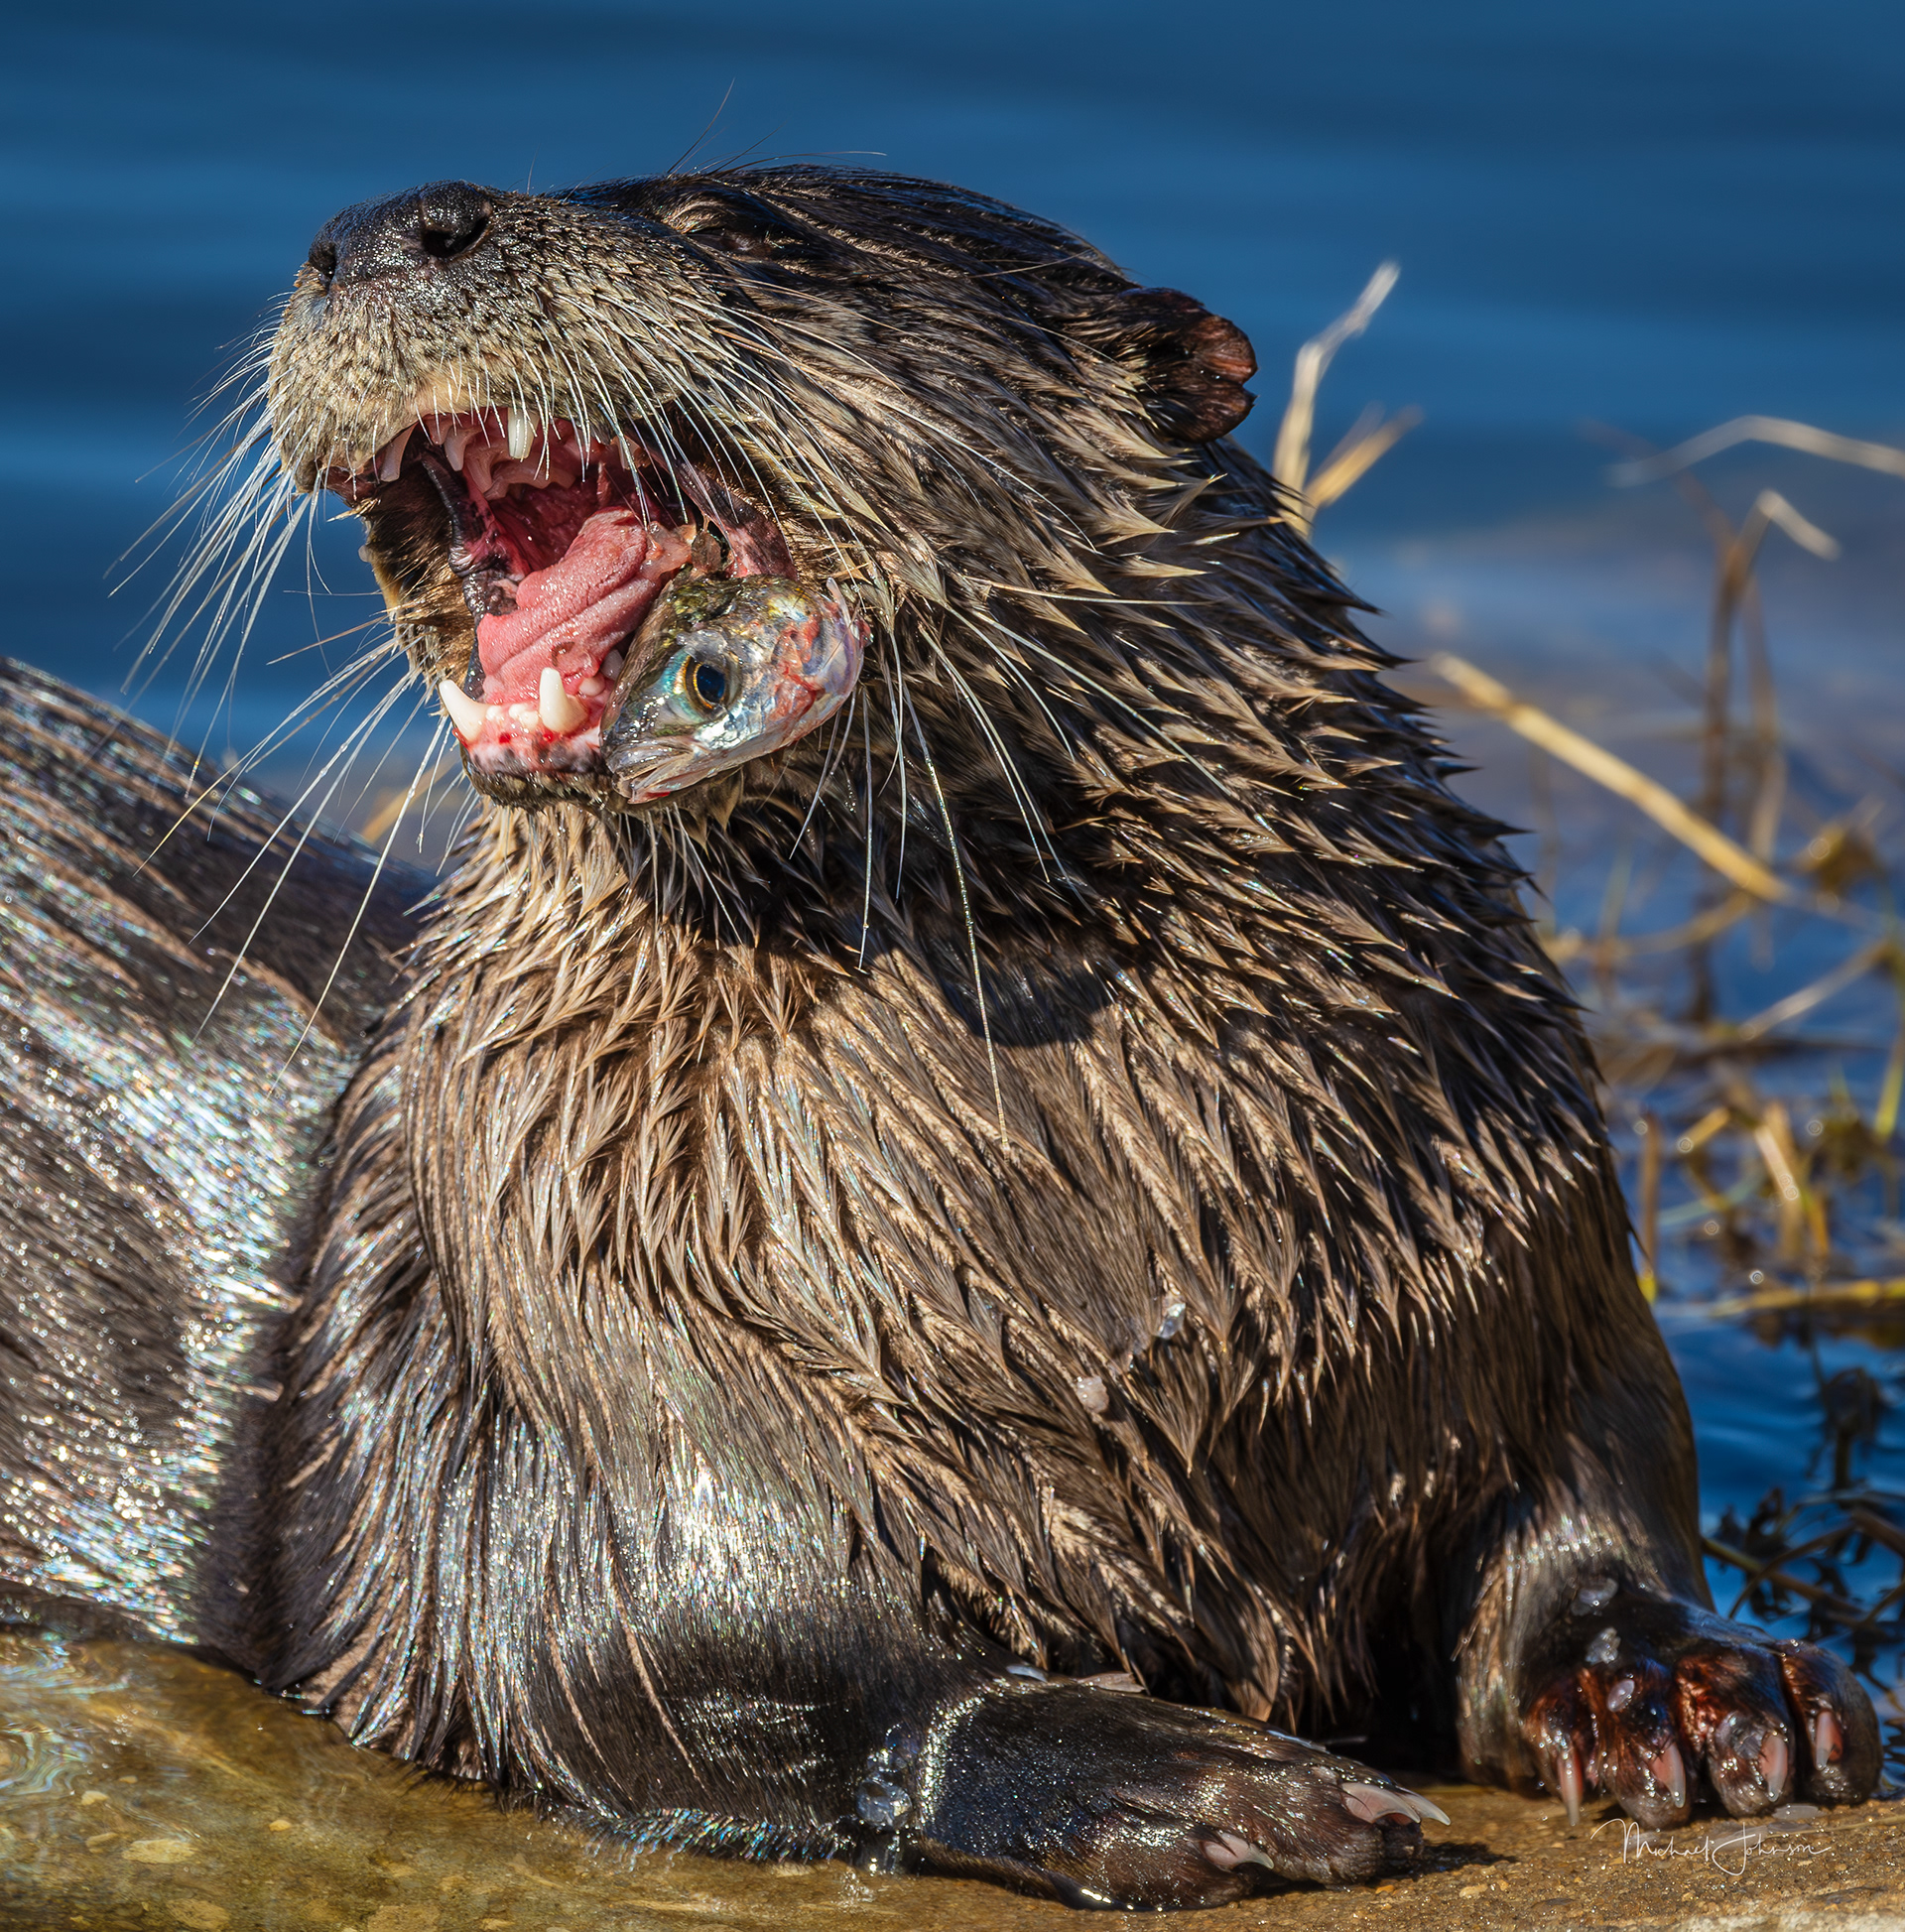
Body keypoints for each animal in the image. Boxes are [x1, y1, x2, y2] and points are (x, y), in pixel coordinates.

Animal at [0, 168, 1878, 1911]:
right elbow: (646, 1654)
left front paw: (1696, 1679)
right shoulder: (583, 1366)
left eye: (740, 229)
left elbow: (1585, 1506)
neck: (1105, 1266)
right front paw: (1182, 1778)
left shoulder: (1515, 1245)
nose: (386, 225)